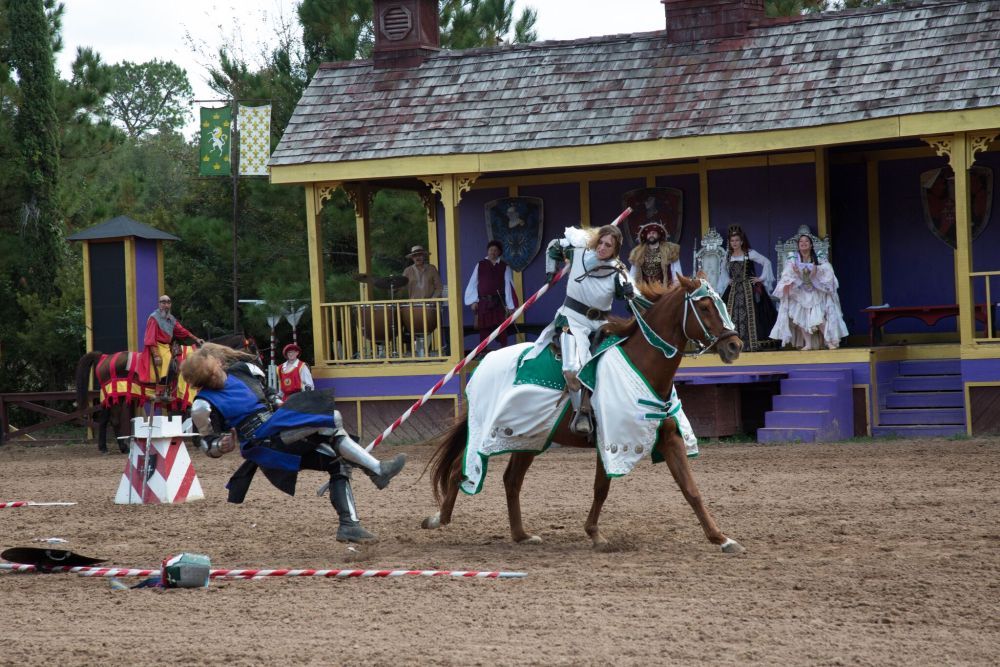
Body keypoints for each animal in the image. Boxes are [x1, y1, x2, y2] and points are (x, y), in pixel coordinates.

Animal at [76, 334, 260, 454]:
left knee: (106, 420)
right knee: (112, 420)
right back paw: (117, 448)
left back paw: (109, 447)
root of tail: (105, 357)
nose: (259, 366)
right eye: (254, 351)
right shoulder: (189, 395)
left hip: (113, 397)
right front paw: (197, 439)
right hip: (115, 395)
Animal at [418, 276, 748, 552]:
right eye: (704, 307)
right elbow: (602, 488)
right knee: (463, 469)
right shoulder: (611, 441)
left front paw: (721, 538)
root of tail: (484, 362)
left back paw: (520, 535)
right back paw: (438, 519)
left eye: (720, 303)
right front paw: (595, 534)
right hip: (490, 432)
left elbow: (691, 489)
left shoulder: (669, 438)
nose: (734, 345)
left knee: (511, 480)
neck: (644, 364)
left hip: (529, 438)